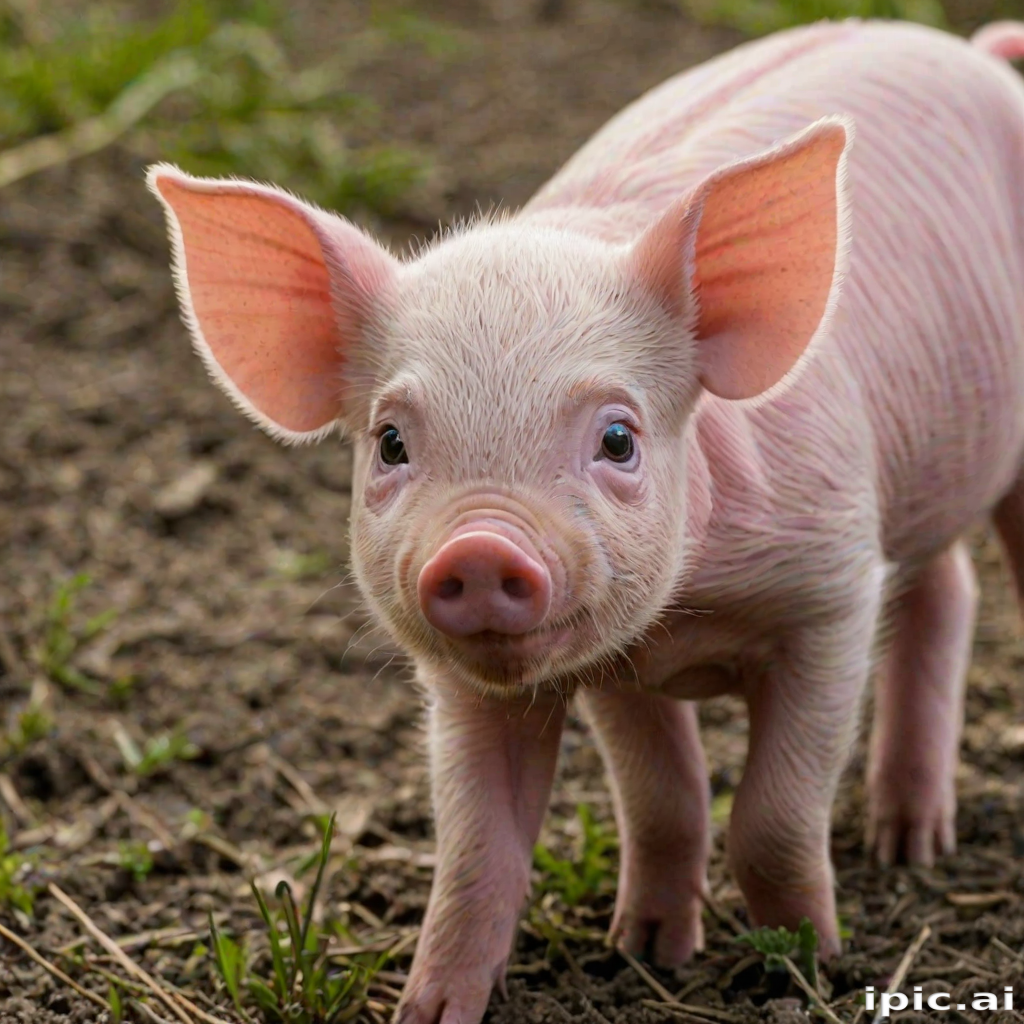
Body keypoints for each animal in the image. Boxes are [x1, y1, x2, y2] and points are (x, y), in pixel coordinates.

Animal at [148, 16, 1024, 1024]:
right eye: (391, 442)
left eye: (617, 437)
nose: (479, 546)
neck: (688, 624)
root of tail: (973, 52)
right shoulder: (593, 672)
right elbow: (560, 827)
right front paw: (631, 955)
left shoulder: (831, 590)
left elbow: (772, 812)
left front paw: (810, 967)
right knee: (947, 589)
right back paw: (907, 842)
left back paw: (911, 855)